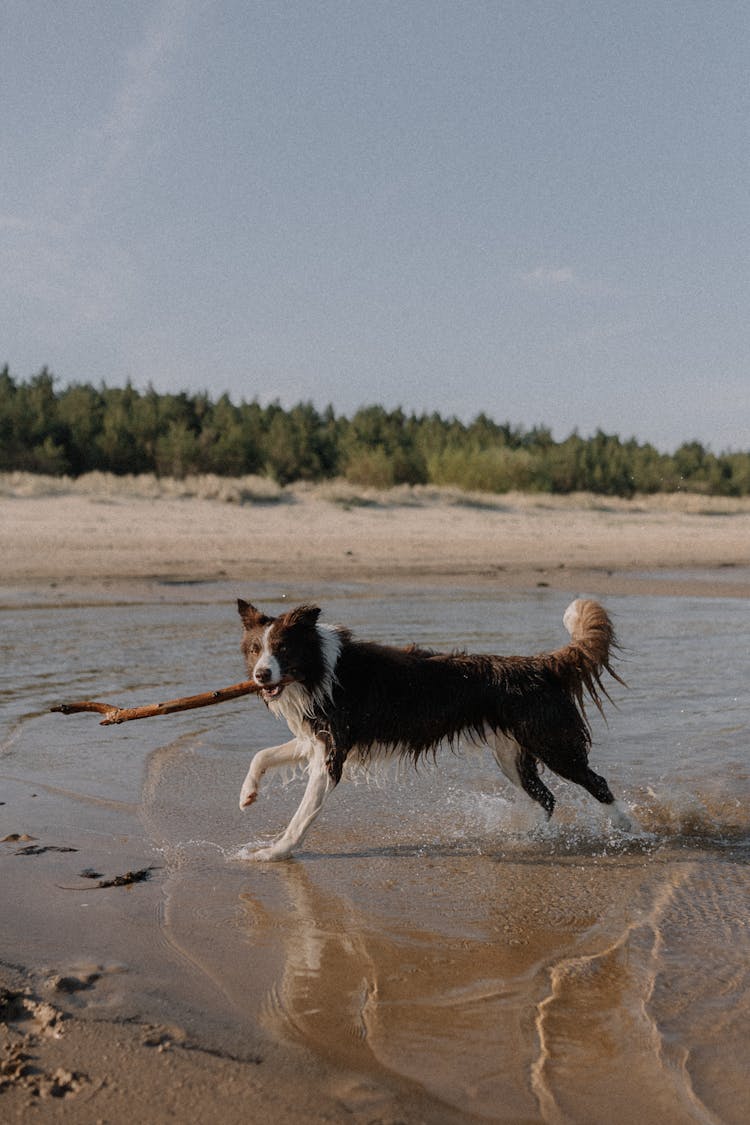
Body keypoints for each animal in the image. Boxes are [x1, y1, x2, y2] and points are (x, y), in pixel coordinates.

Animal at [237, 598, 629, 859]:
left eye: (282, 649)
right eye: (256, 649)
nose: (261, 675)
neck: (322, 669)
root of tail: (541, 664)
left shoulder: (332, 753)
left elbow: (302, 815)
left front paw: (273, 852)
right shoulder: (316, 738)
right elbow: (261, 755)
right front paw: (247, 795)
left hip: (553, 744)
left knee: (597, 783)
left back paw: (626, 832)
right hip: (512, 756)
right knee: (546, 796)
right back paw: (530, 837)